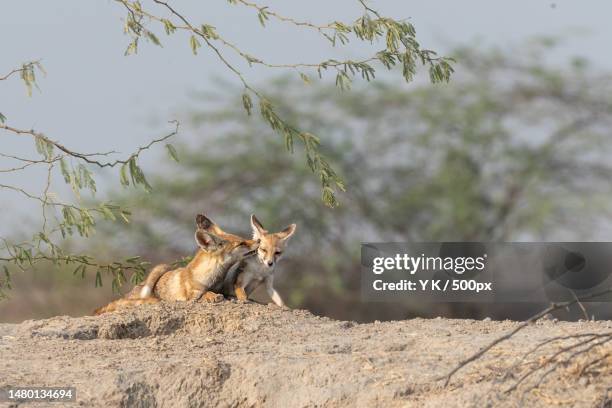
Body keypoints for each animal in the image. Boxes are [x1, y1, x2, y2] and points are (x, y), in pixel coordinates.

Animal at [93, 217, 258, 316]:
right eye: (242, 243)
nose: (258, 241)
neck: (212, 278)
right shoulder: (191, 295)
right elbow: (202, 295)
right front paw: (211, 296)